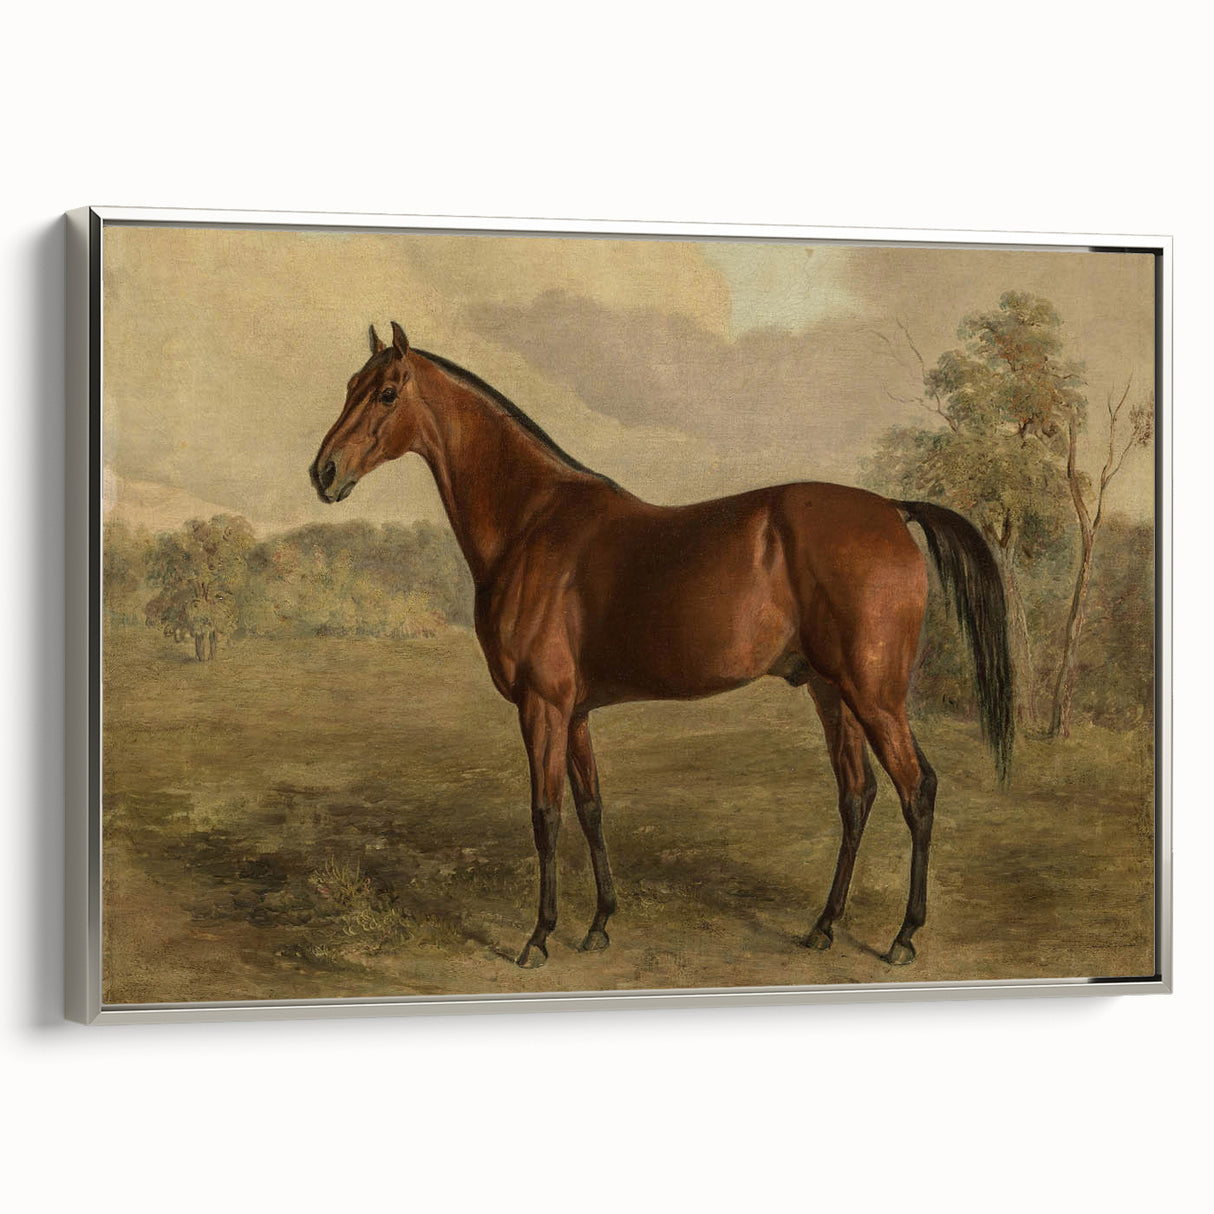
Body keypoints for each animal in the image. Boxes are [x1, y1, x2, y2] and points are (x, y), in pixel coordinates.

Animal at [310, 321, 1013, 969]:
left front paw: (539, 938)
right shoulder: (575, 713)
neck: (531, 523)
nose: (324, 472)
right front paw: (598, 925)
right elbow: (591, 808)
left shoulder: (542, 706)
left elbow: (545, 816)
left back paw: (904, 937)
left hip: (875, 695)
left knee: (916, 790)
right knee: (856, 796)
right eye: (348, 386)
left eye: (387, 393)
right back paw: (823, 927)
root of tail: (893, 510)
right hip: (830, 691)